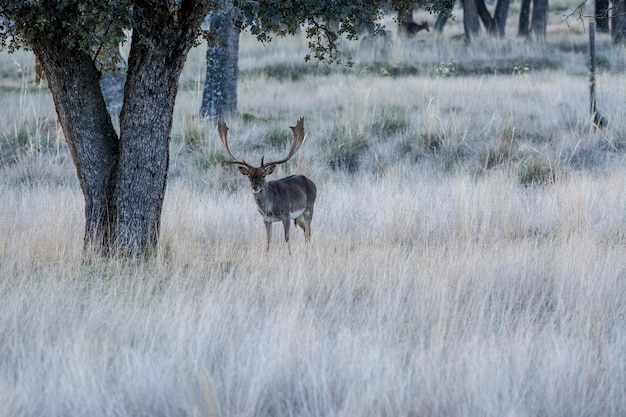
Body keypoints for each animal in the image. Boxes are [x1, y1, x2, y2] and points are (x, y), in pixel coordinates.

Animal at [218, 117, 316, 254]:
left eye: (263, 175)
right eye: (249, 175)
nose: (255, 187)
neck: (269, 208)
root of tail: (312, 183)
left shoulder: (286, 214)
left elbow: (286, 238)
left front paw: (290, 254)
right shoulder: (266, 219)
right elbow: (268, 239)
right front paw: (267, 254)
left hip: (309, 209)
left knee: (309, 232)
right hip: (299, 217)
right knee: (306, 232)